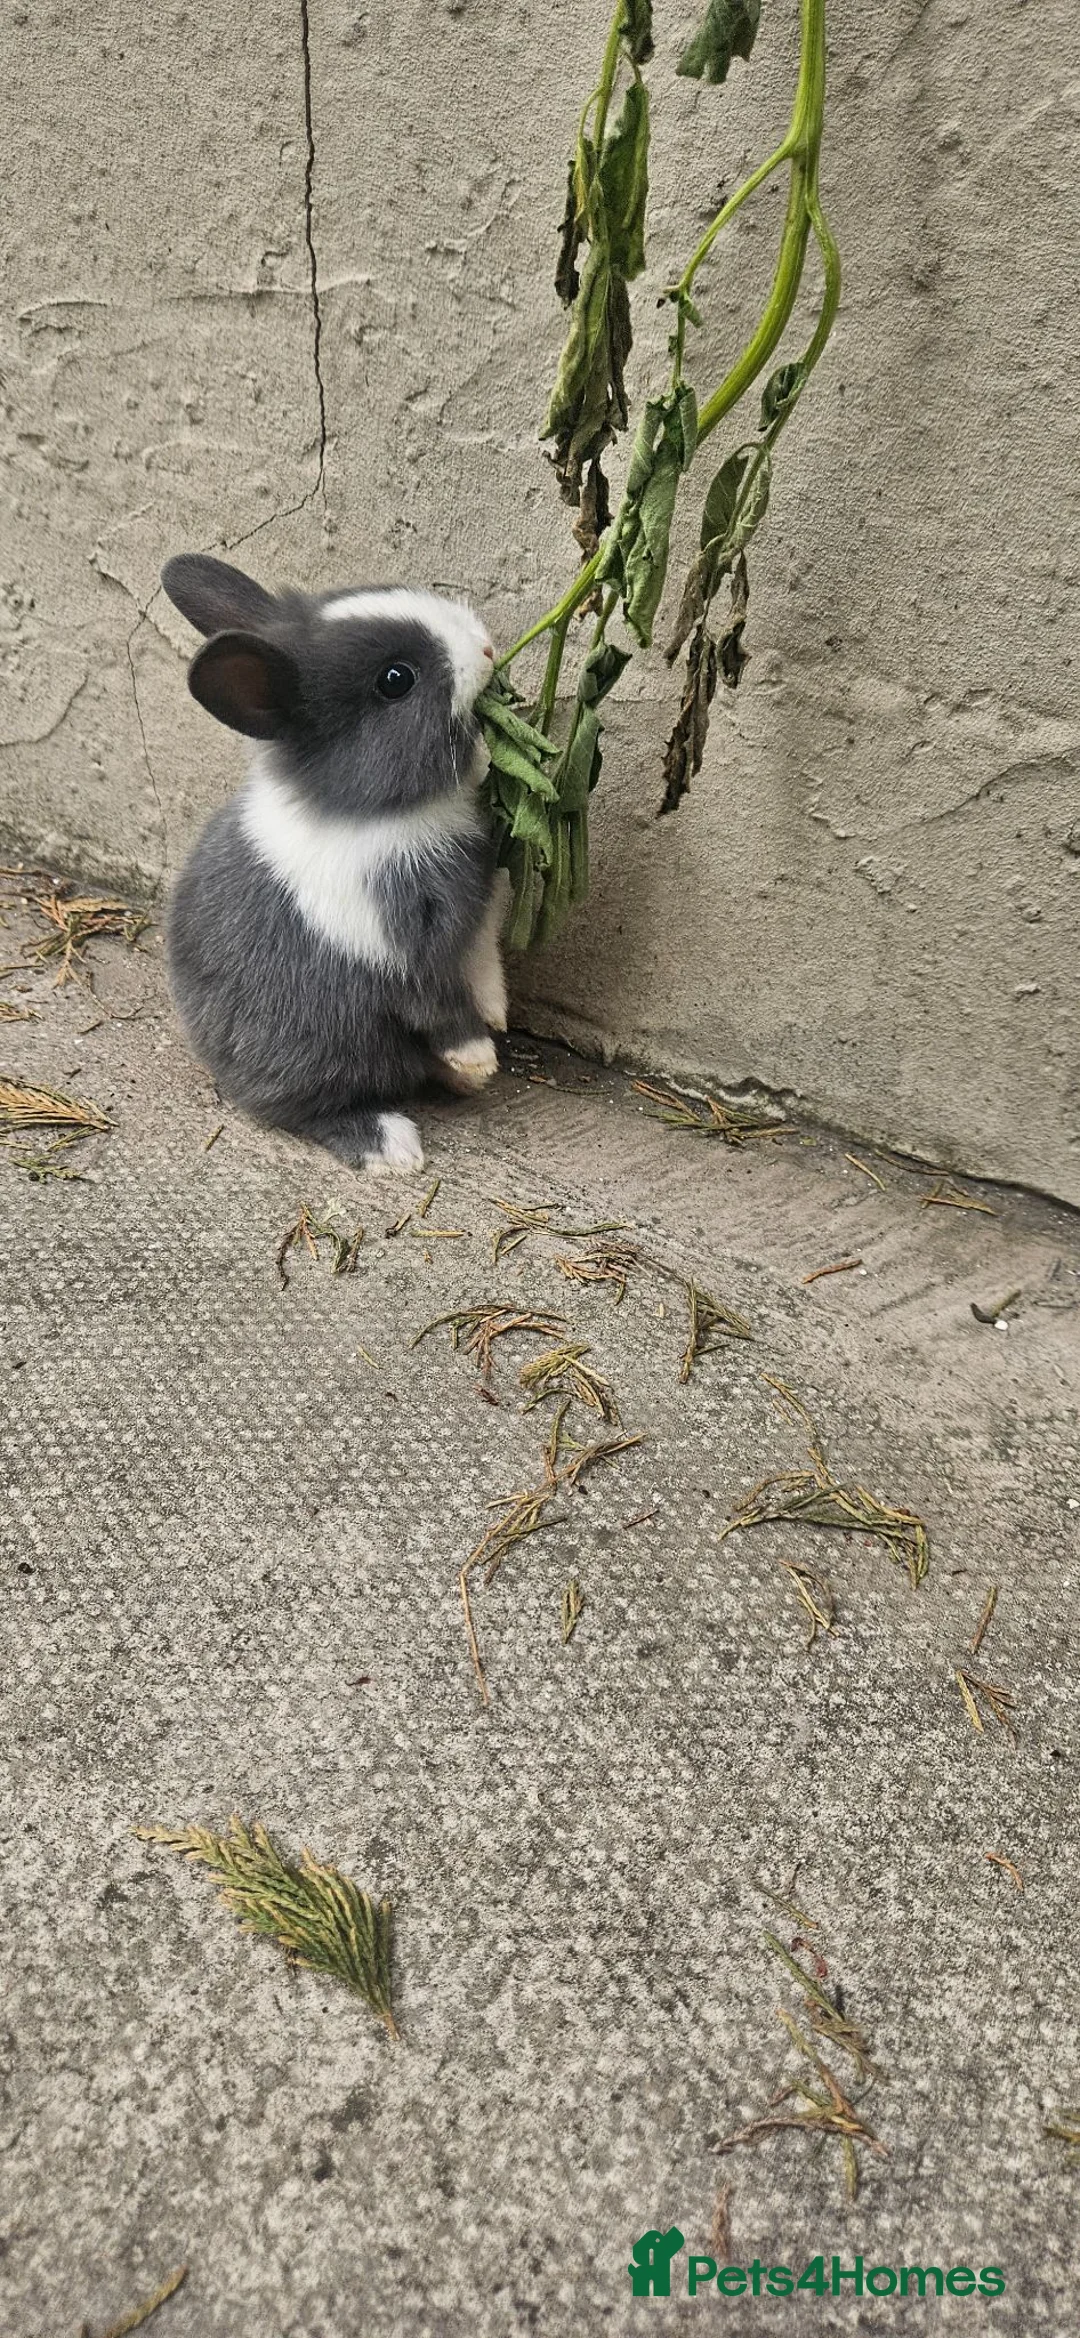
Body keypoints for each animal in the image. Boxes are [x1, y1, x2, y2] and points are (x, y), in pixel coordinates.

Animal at [159, 553, 510, 1175]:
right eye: (396, 680)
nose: (488, 648)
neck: (377, 810)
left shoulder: (479, 914)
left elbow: (483, 960)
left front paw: (496, 1019)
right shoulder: (398, 947)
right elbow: (437, 1005)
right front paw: (478, 1058)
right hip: (313, 1056)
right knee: (306, 1110)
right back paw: (392, 1145)